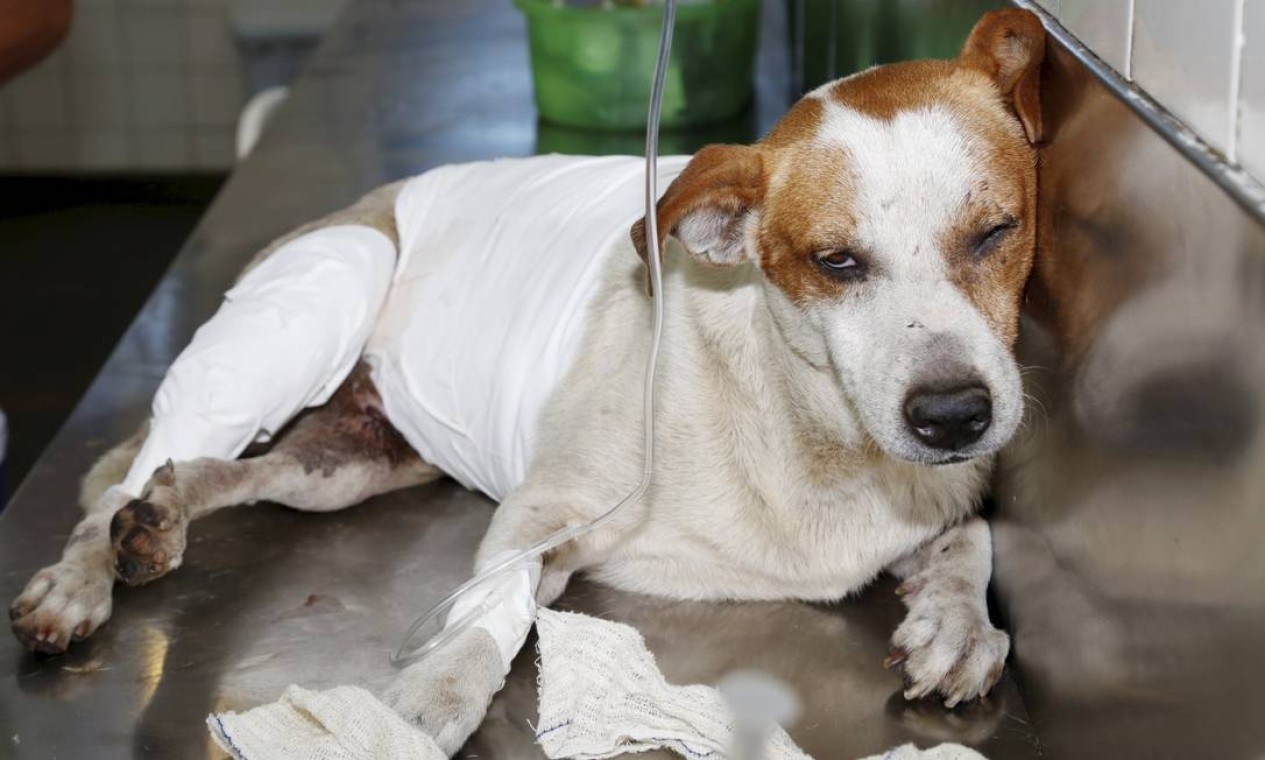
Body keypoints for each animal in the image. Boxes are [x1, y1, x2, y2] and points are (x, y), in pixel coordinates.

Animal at [12, 7, 1047, 753]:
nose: (954, 417)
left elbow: (970, 540)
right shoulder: (545, 514)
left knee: (207, 476)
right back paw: (81, 581)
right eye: (835, 262)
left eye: (996, 232)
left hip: (342, 468)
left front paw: (959, 624)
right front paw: (431, 697)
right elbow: (487, 614)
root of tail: (358, 203)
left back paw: (159, 521)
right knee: (125, 477)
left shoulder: (932, 503)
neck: (807, 427)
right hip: (313, 303)